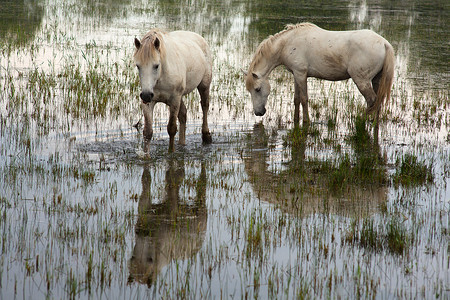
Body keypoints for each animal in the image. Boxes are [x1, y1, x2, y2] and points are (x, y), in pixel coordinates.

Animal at [244, 22, 396, 125]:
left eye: (257, 89)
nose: (258, 112)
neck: (287, 43)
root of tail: (384, 43)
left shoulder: (301, 74)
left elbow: (304, 99)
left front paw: (306, 121)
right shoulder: (296, 75)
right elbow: (296, 99)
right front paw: (295, 120)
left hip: (361, 80)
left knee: (372, 101)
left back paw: (360, 121)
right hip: (376, 79)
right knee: (378, 101)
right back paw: (375, 123)